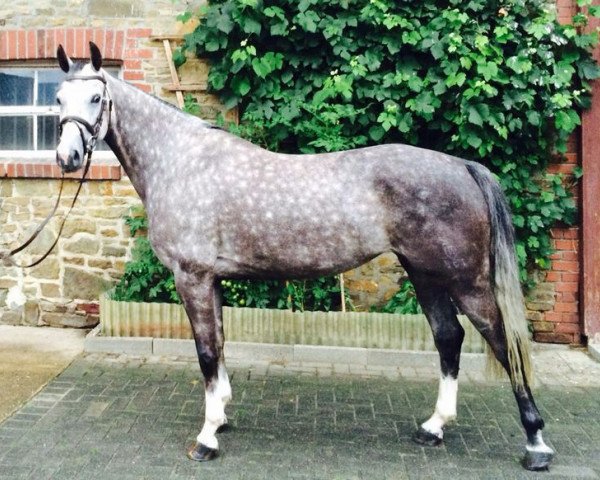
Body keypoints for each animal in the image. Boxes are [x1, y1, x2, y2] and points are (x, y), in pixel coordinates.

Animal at [55, 43, 552, 470]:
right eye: (58, 98)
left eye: (97, 97)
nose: (67, 156)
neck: (180, 163)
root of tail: (462, 166)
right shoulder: (211, 280)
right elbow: (220, 344)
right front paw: (222, 416)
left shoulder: (191, 277)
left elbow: (206, 352)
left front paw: (206, 438)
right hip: (425, 273)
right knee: (449, 337)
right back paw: (434, 427)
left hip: (467, 281)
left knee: (503, 342)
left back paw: (536, 444)